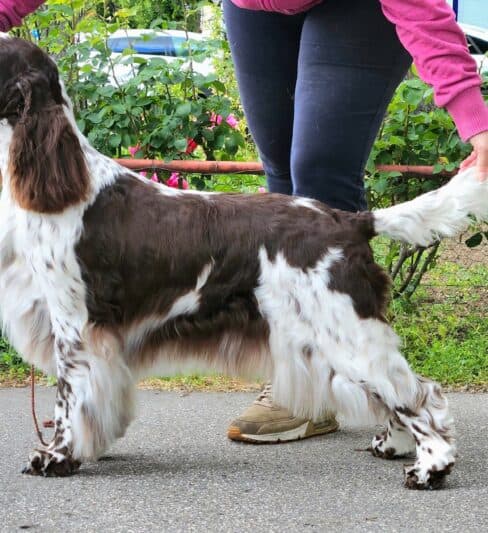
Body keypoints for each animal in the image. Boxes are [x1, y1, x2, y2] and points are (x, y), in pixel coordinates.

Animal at [0, 36, 488, 486]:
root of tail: (351, 221)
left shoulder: (75, 324)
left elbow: (69, 399)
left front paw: (55, 457)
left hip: (347, 332)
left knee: (417, 394)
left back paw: (430, 467)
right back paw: (394, 444)